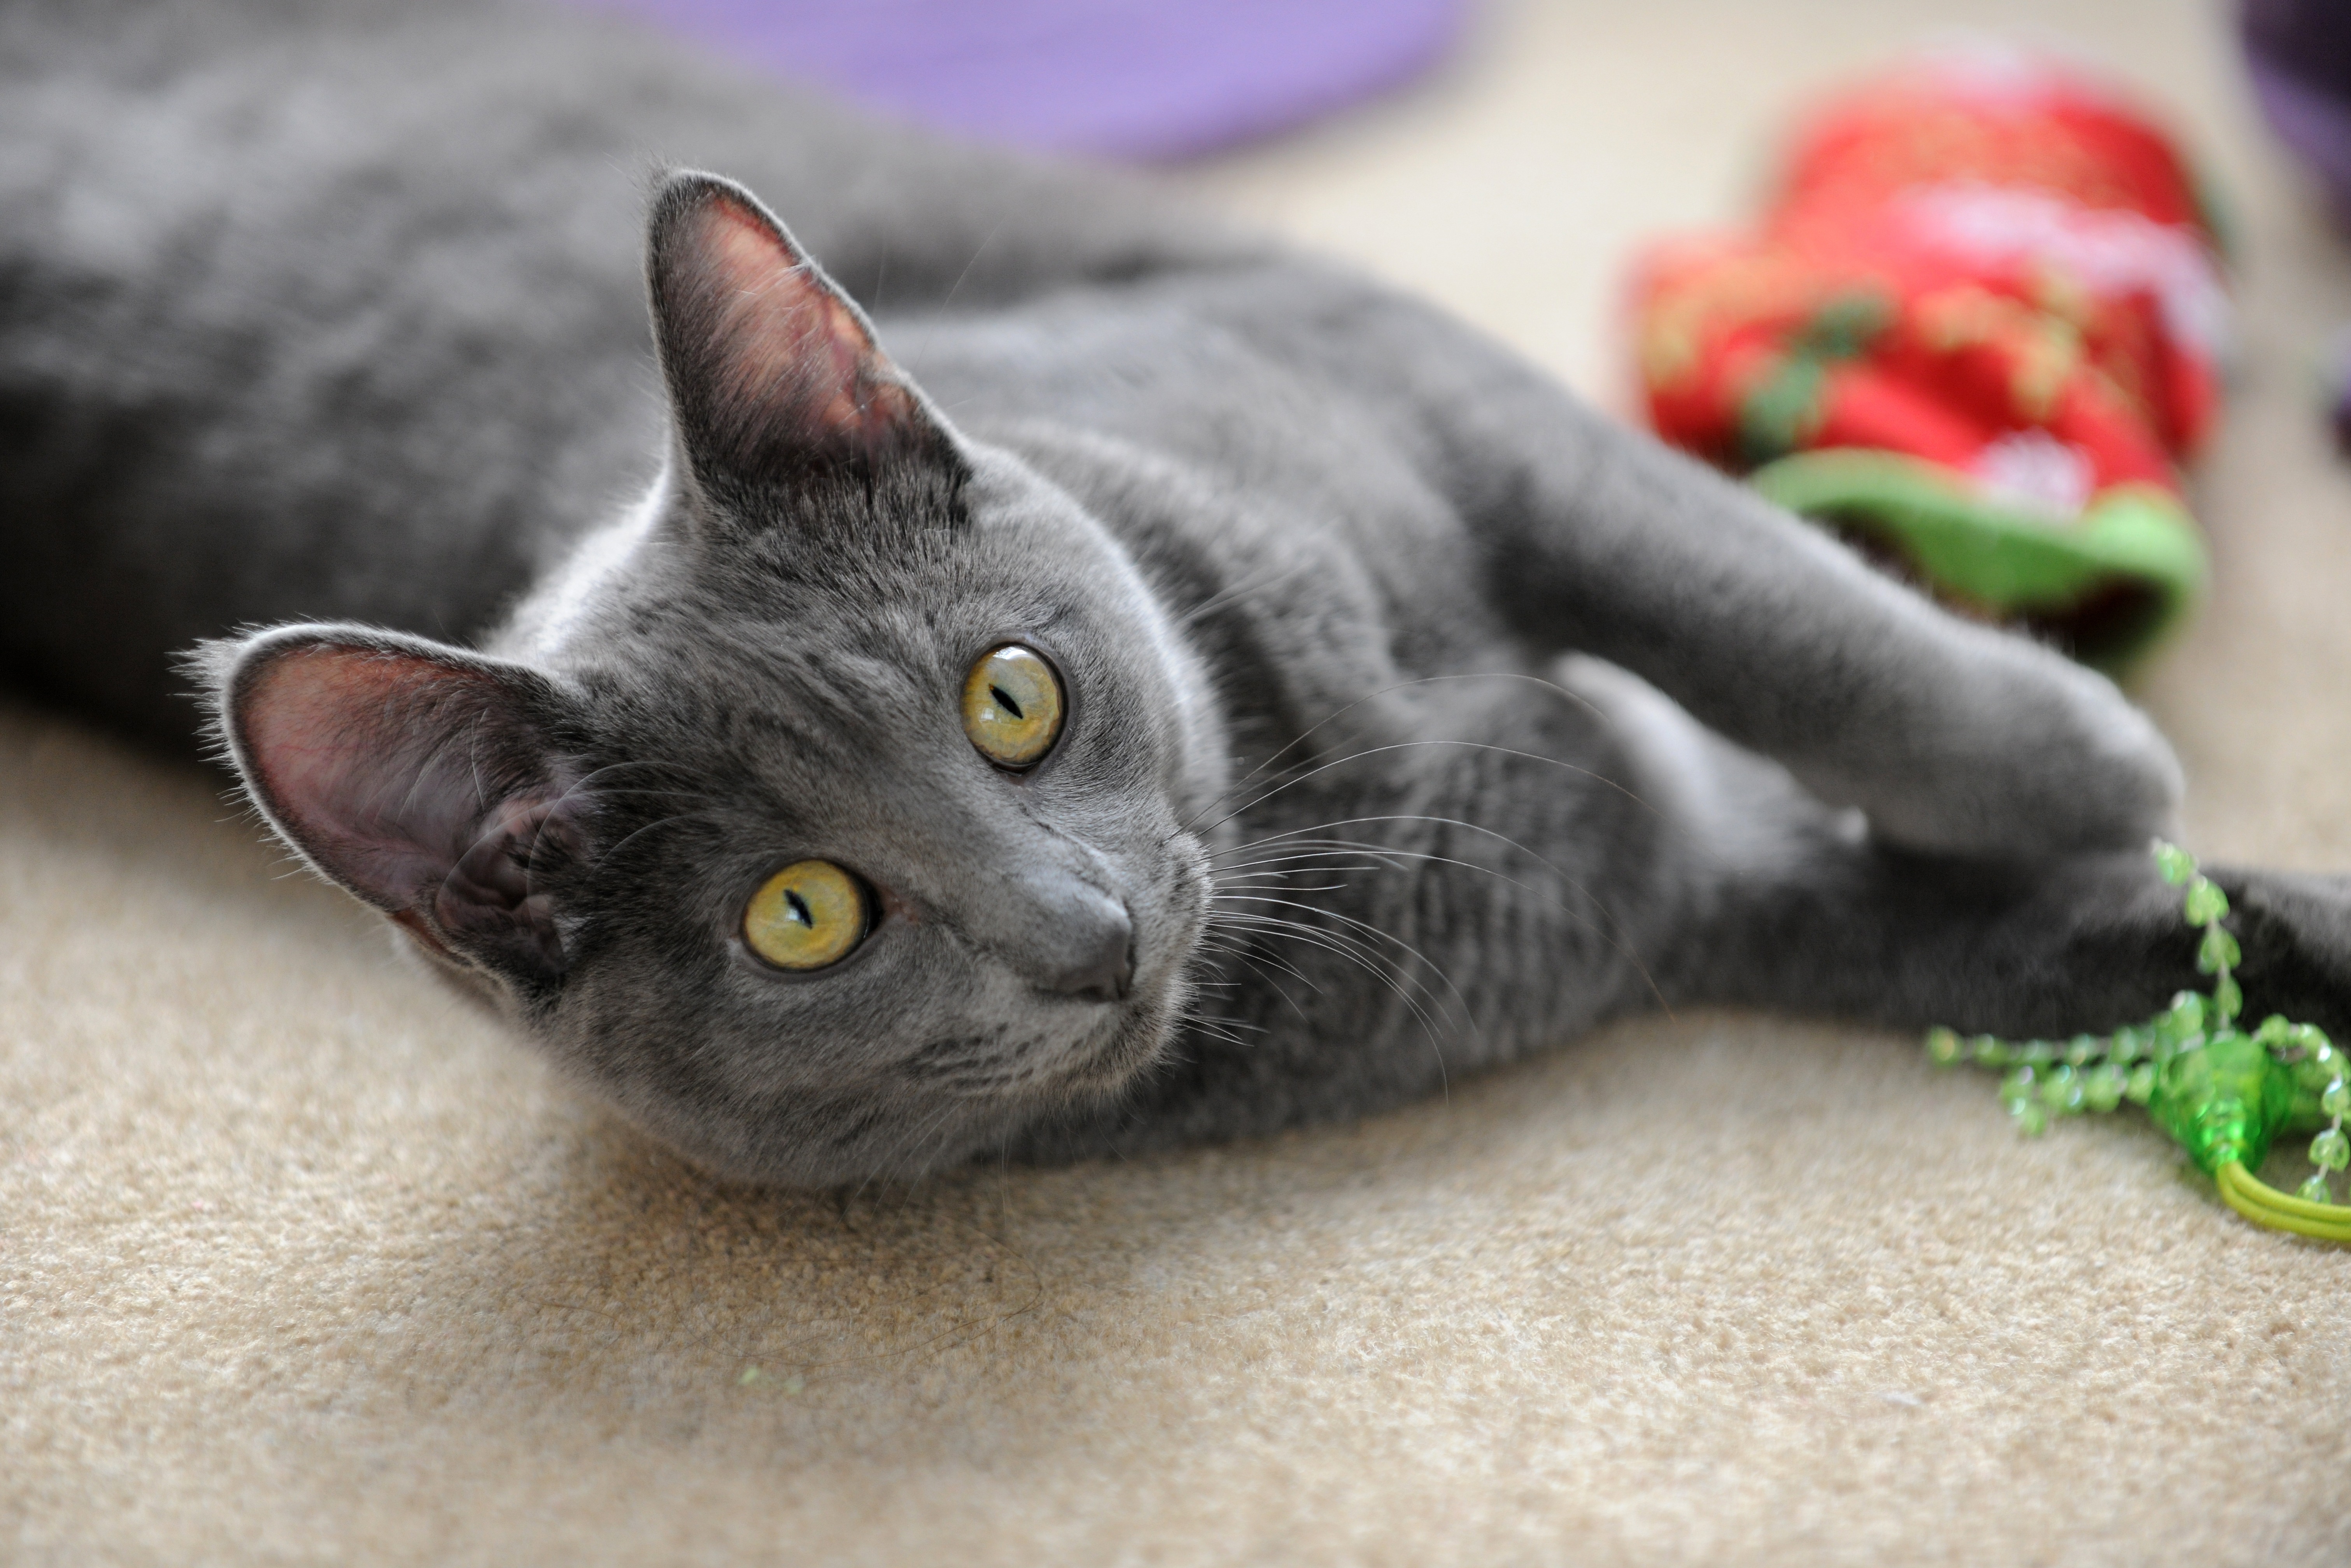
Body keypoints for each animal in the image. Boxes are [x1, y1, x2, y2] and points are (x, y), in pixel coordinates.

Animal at [14, 0, 2351, 1175]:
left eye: (1012, 696)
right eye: (803, 919)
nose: (1085, 935)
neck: (1330, 820)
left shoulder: (1410, 379)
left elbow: (1766, 609)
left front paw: (2084, 756)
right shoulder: (1690, 886)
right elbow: (2032, 938)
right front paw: (2144, 840)